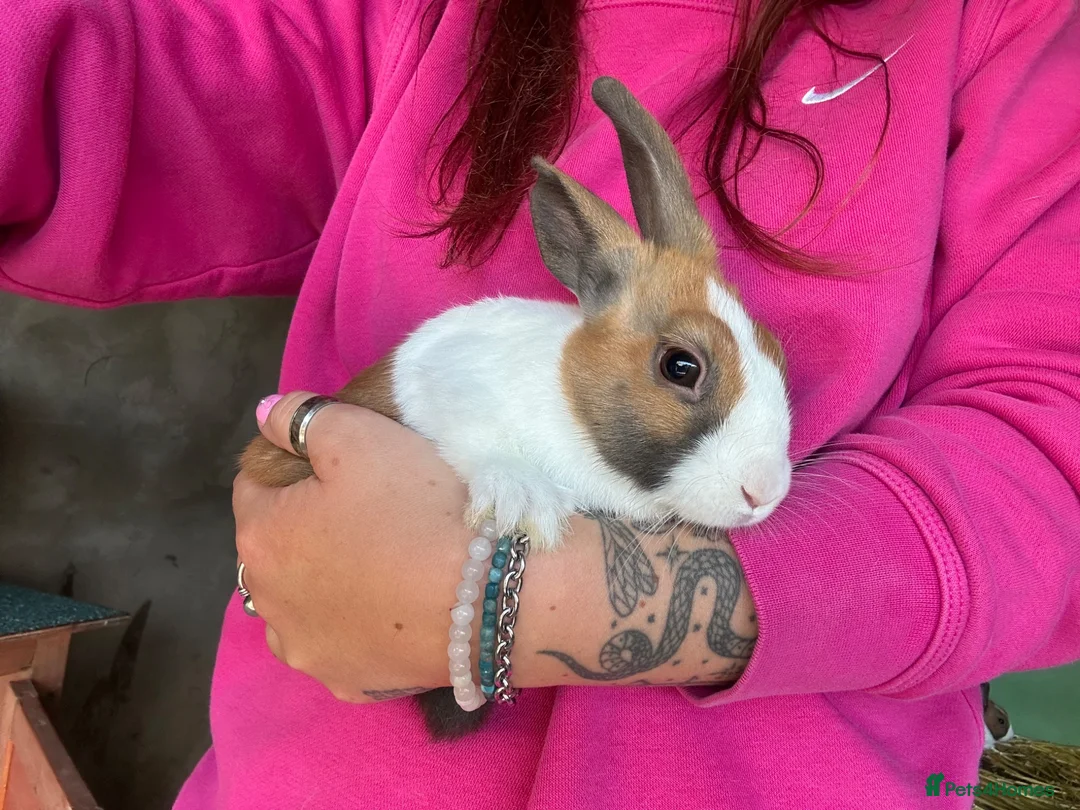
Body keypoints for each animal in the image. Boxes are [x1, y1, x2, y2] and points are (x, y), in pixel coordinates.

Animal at [239, 76, 792, 739]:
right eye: (681, 366)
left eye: (775, 349)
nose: (764, 493)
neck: (572, 408)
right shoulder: (449, 392)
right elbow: (482, 446)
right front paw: (526, 501)